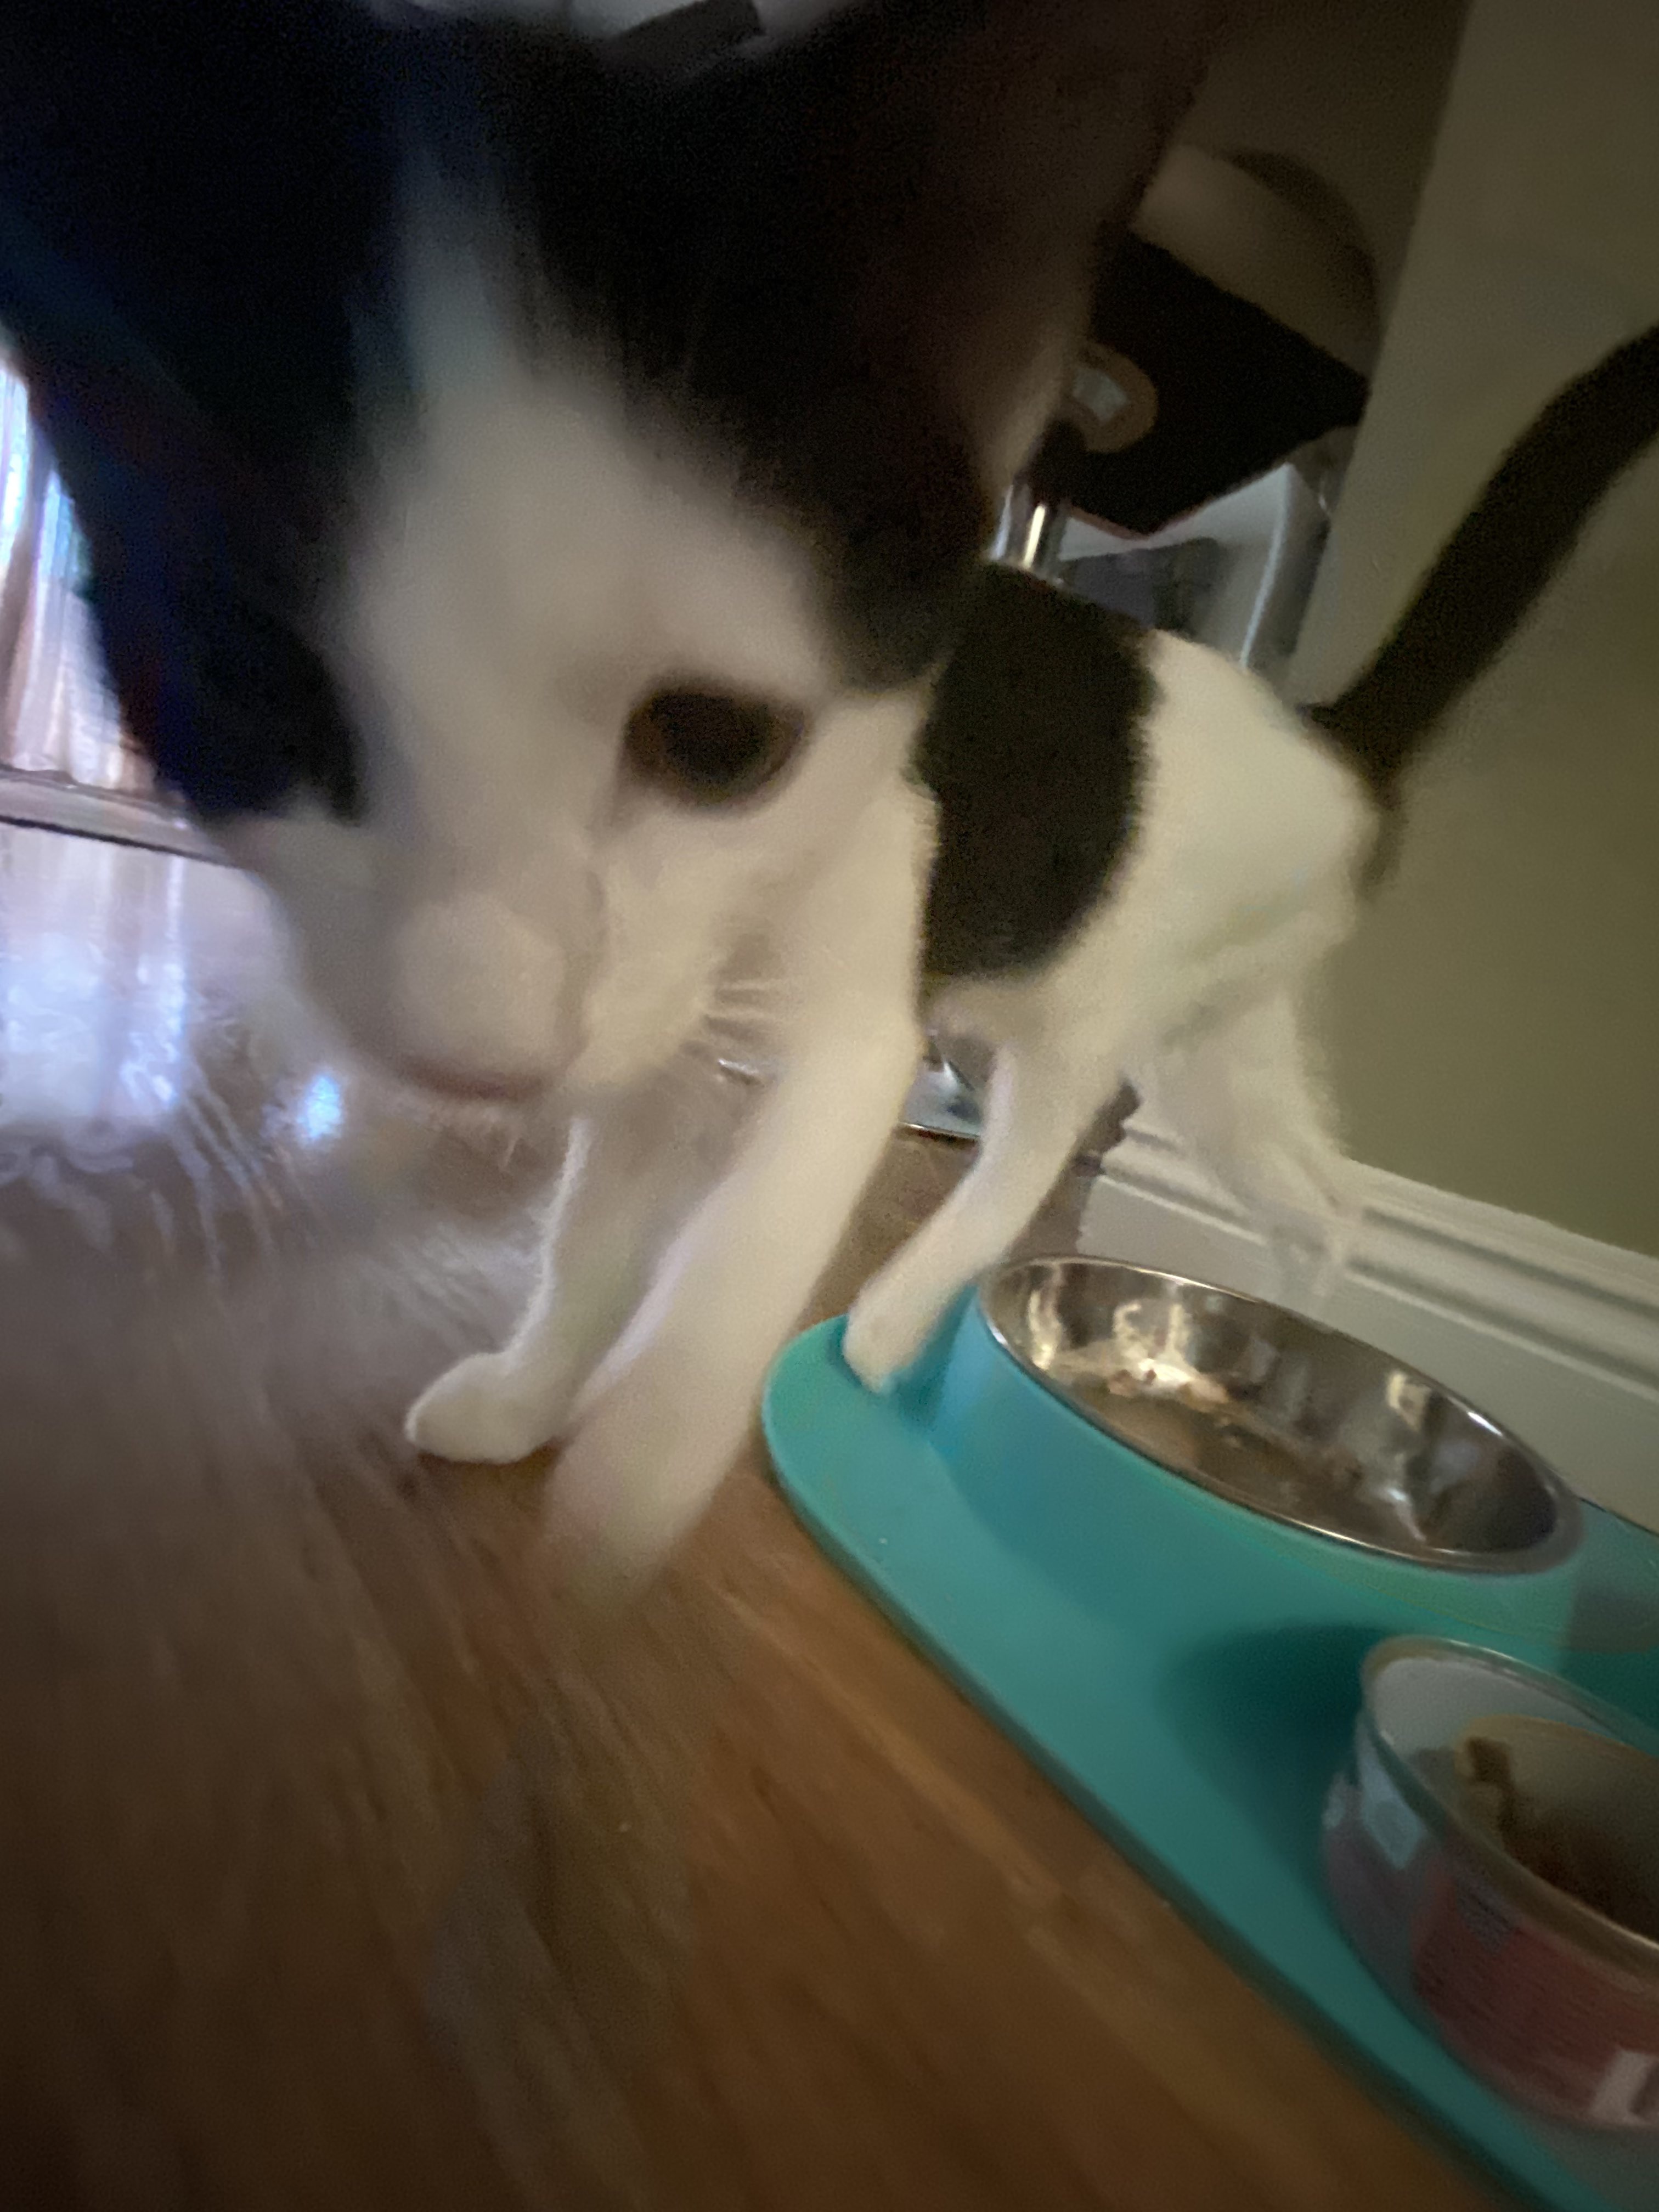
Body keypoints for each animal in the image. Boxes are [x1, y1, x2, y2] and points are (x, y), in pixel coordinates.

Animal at [5, 1, 1658, 1578]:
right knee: (1323, 1190)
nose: (479, 1046)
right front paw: (531, 1392)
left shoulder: (859, 1009)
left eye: (719, 742)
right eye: (255, 704)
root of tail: (1316, 737)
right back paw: (1304, 1321)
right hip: (1223, 1056)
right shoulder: (646, 1064)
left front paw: (652, 1439)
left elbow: (755, 1228)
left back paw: (904, 1310)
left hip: (1094, 999)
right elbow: (591, 1243)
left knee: (1039, 1143)